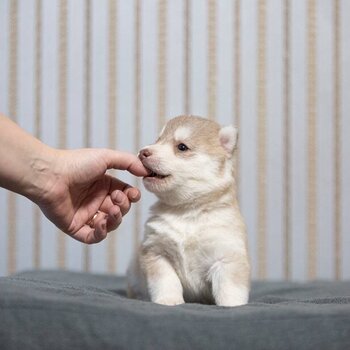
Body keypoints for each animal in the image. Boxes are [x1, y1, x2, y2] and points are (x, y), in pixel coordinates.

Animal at [127, 115, 250, 306]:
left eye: (182, 147)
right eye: (158, 140)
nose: (143, 152)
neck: (187, 211)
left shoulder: (227, 257)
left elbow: (230, 288)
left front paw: (232, 305)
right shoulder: (156, 252)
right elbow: (166, 281)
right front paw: (169, 300)